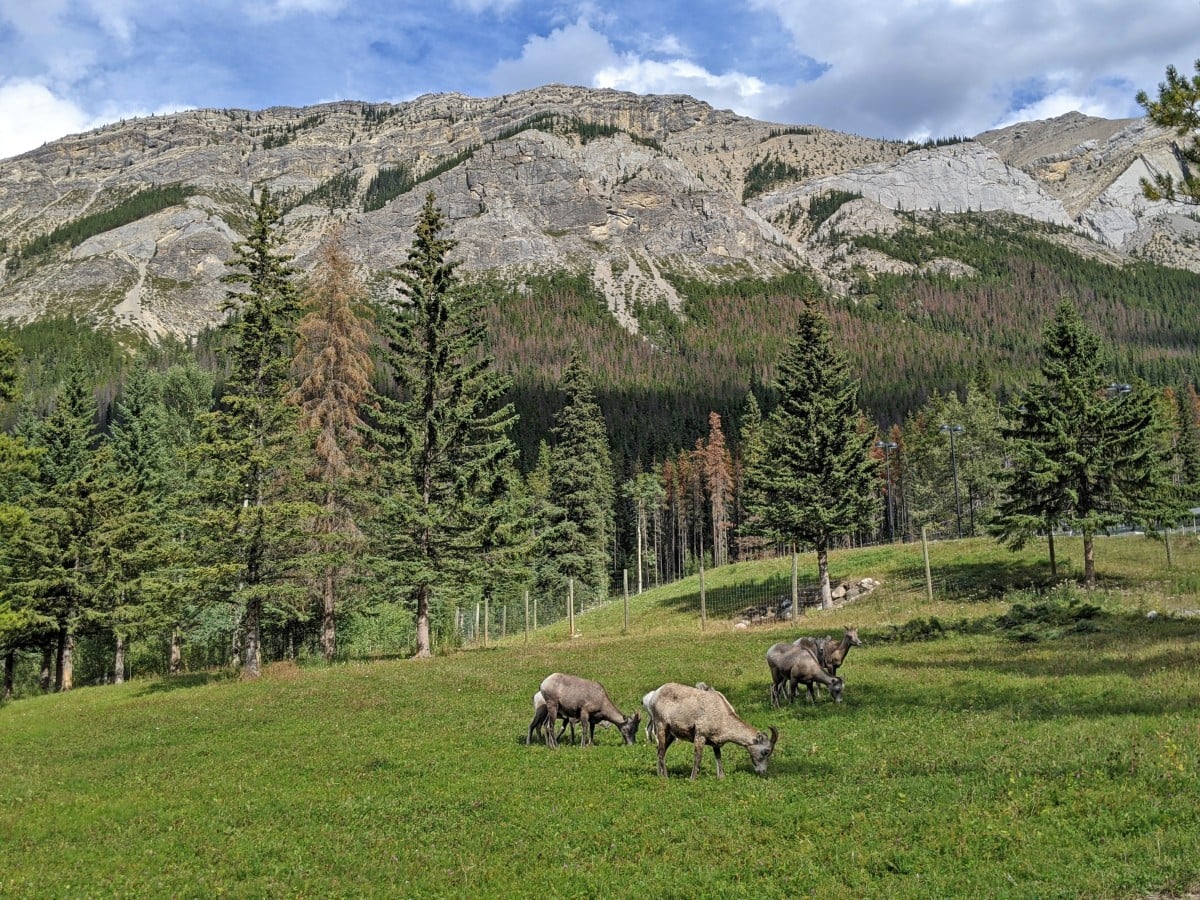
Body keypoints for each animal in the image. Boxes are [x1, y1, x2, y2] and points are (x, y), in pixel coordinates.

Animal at [648, 682, 779, 779]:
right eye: (765, 751)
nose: (762, 772)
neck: (722, 716)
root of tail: (654, 696)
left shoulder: (716, 744)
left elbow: (718, 759)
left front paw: (721, 777)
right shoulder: (700, 736)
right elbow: (698, 758)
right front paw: (692, 779)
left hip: (670, 734)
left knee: (660, 751)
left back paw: (659, 775)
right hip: (661, 726)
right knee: (661, 752)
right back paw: (665, 777)